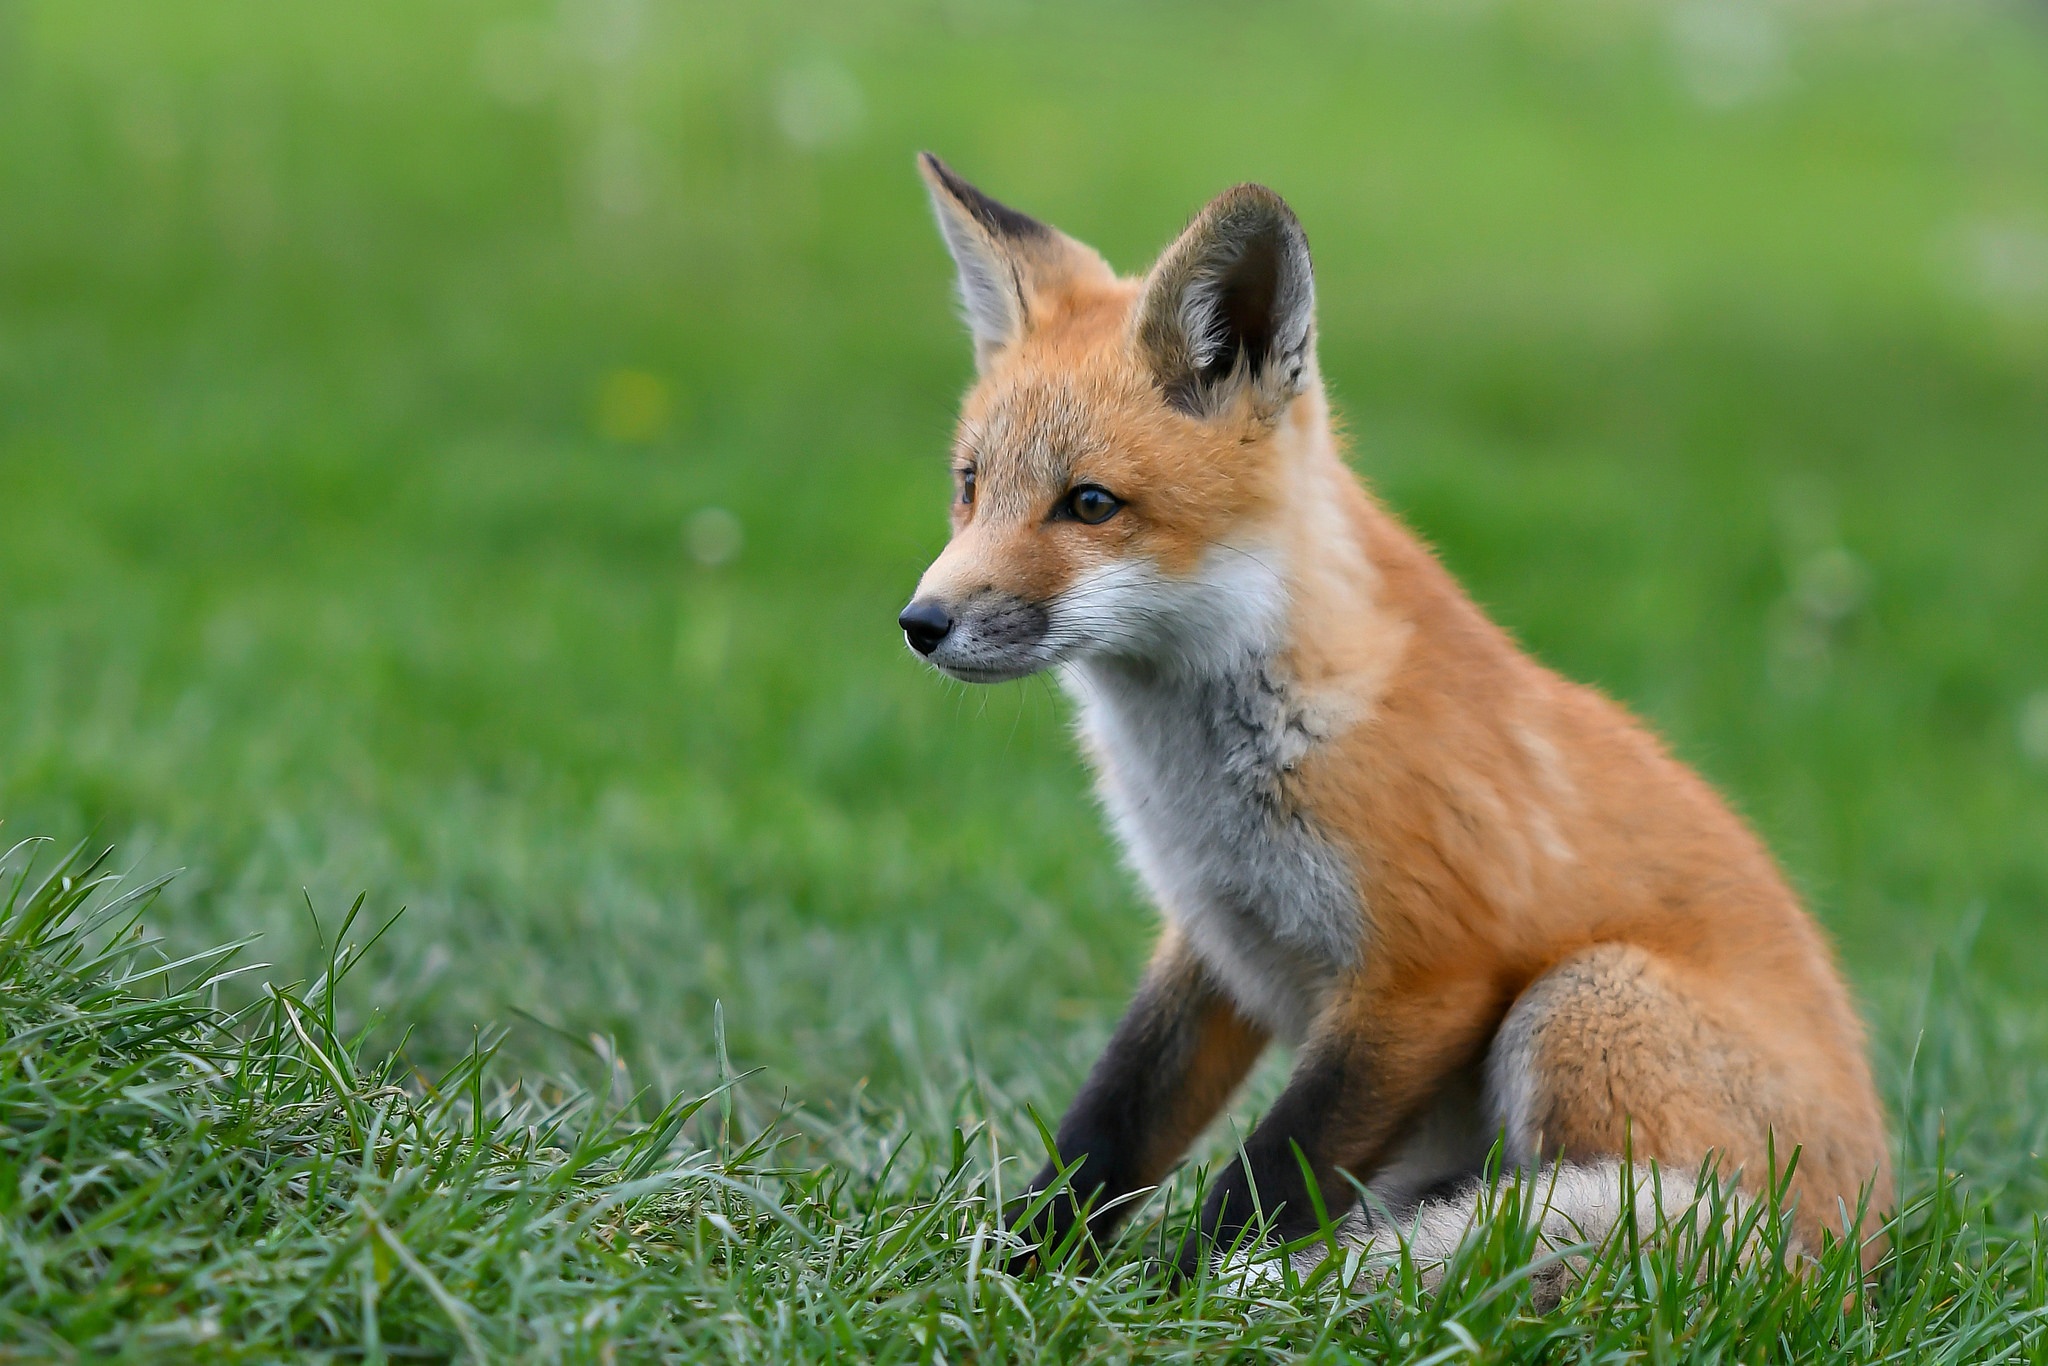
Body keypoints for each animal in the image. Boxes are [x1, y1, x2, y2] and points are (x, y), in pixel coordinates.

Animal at [905, 154, 1892, 1286]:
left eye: (1090, 504)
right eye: (969, 486)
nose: (920, 623)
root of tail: (1854, 1254)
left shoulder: (1424, 976)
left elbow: (1267, 1176)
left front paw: (1179, 1297)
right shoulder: (1213, 943)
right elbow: (1107, 1127)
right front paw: (1012, 1267)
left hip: (1579, 999)